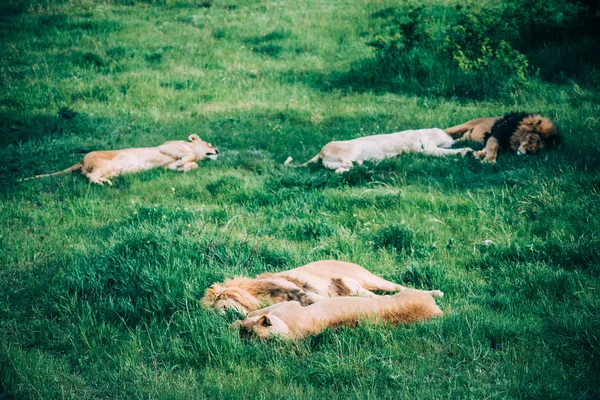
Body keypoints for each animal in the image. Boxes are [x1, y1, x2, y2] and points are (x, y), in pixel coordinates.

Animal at [25, 134, 220, 185]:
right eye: (209, 144)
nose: (217, 150)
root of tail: (81, 159)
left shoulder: (167, 165)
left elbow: (191, 165)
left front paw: (184, 167)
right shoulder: (167, 146)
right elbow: (190, 156)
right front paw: (184, 162)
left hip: (110, 170)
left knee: (89, 175)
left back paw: (104, 182)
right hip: (105, 163)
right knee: (90, 176)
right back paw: (101, 183)